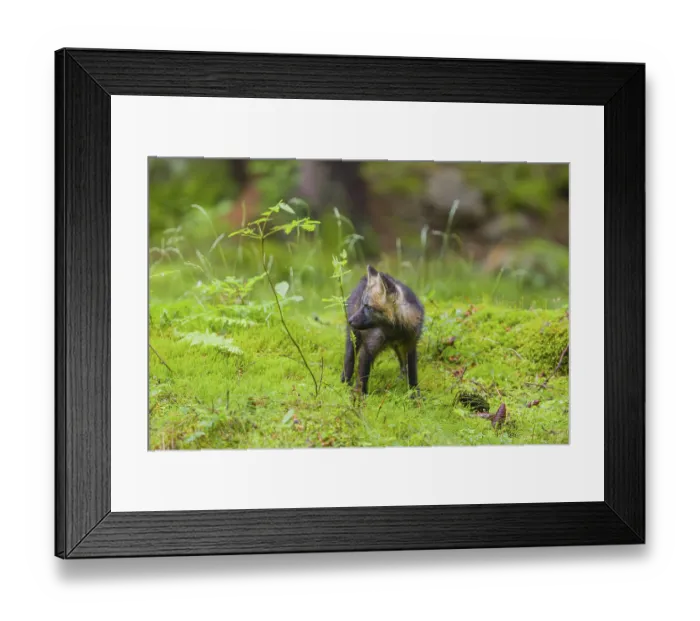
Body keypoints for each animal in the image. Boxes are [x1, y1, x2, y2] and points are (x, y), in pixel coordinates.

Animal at [342, 265, 425, 396]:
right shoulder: (368, 348)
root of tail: (363, 279)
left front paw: (414, 394)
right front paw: (361, 396)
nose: (350, 320)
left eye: (368, 307)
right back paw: (344, 382)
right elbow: (362, 376)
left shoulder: (411, 345)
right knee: (349, 360)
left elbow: (412, 373)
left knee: (403, 366)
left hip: (398, 347)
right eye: (362, 305)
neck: (395, 332)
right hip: (354, 340)